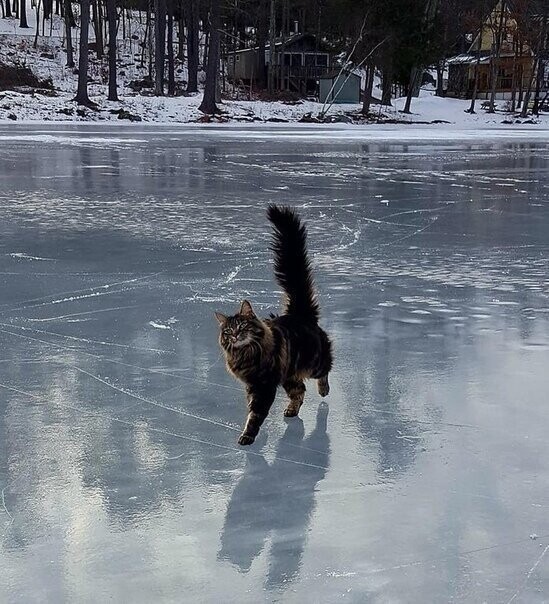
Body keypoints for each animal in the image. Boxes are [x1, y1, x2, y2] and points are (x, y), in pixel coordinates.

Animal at [214, 205, 332, 446]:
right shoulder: (252, 386)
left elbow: (255, 414)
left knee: (326, 368)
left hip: (313, 362)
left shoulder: (264, 385)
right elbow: (252, 408)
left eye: (242, 327)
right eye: (228, 332)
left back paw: (324, 390)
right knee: (300, 390)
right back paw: (291, 411)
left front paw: (248, 436)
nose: (235, 337)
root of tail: (299, 314)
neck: (246, 354)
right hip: (289, 375)